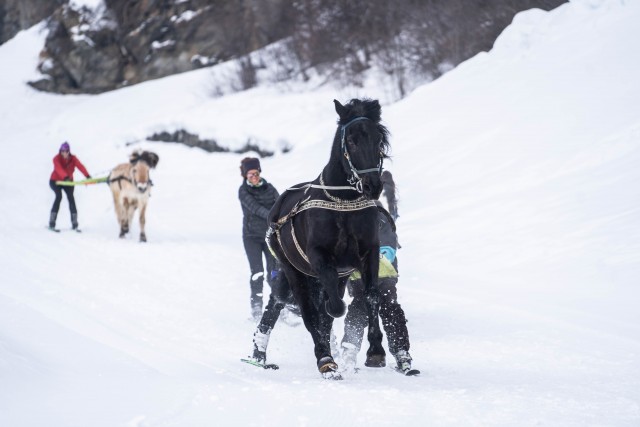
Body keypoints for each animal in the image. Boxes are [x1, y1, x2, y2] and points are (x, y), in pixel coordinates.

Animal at [266, 98, 390, 380]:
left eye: (379, 139)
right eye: (351, 141)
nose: (373, 185)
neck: (343, 202)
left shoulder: (369, 252)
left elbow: (371, 296)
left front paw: (376, 351)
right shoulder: (320, 258)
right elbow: (331, 309)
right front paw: (328, 355)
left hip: (336, 275)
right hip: (294, 271)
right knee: (310, 313)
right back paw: (325, 359)